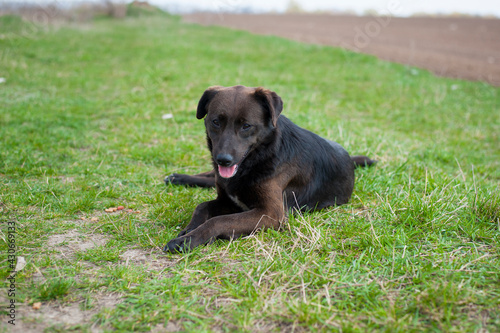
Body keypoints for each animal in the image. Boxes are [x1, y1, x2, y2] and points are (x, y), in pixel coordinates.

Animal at [165, 85, 376, 252]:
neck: (260, 156)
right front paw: (190, 229)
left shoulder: (270, 213)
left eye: (246, 126)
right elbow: (202, 206)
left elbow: (218, 221)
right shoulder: (229, 199)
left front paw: (189, 240)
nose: (224, 160)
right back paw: (178, 177)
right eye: (216, 122)